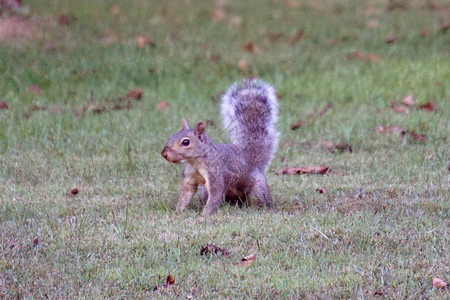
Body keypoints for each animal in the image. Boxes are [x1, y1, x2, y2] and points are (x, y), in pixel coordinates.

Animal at [162, 78, 280, 217]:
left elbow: (214, 197)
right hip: (204, 192)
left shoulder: (216, 174)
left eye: (186, 142)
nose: (164, 153)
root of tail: (254, 165)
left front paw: (204, 216)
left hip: (257, 189)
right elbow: (186, 194)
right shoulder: (190, 176)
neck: (196, 161)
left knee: (258, 201)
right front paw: (177, 212)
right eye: (171, 136)